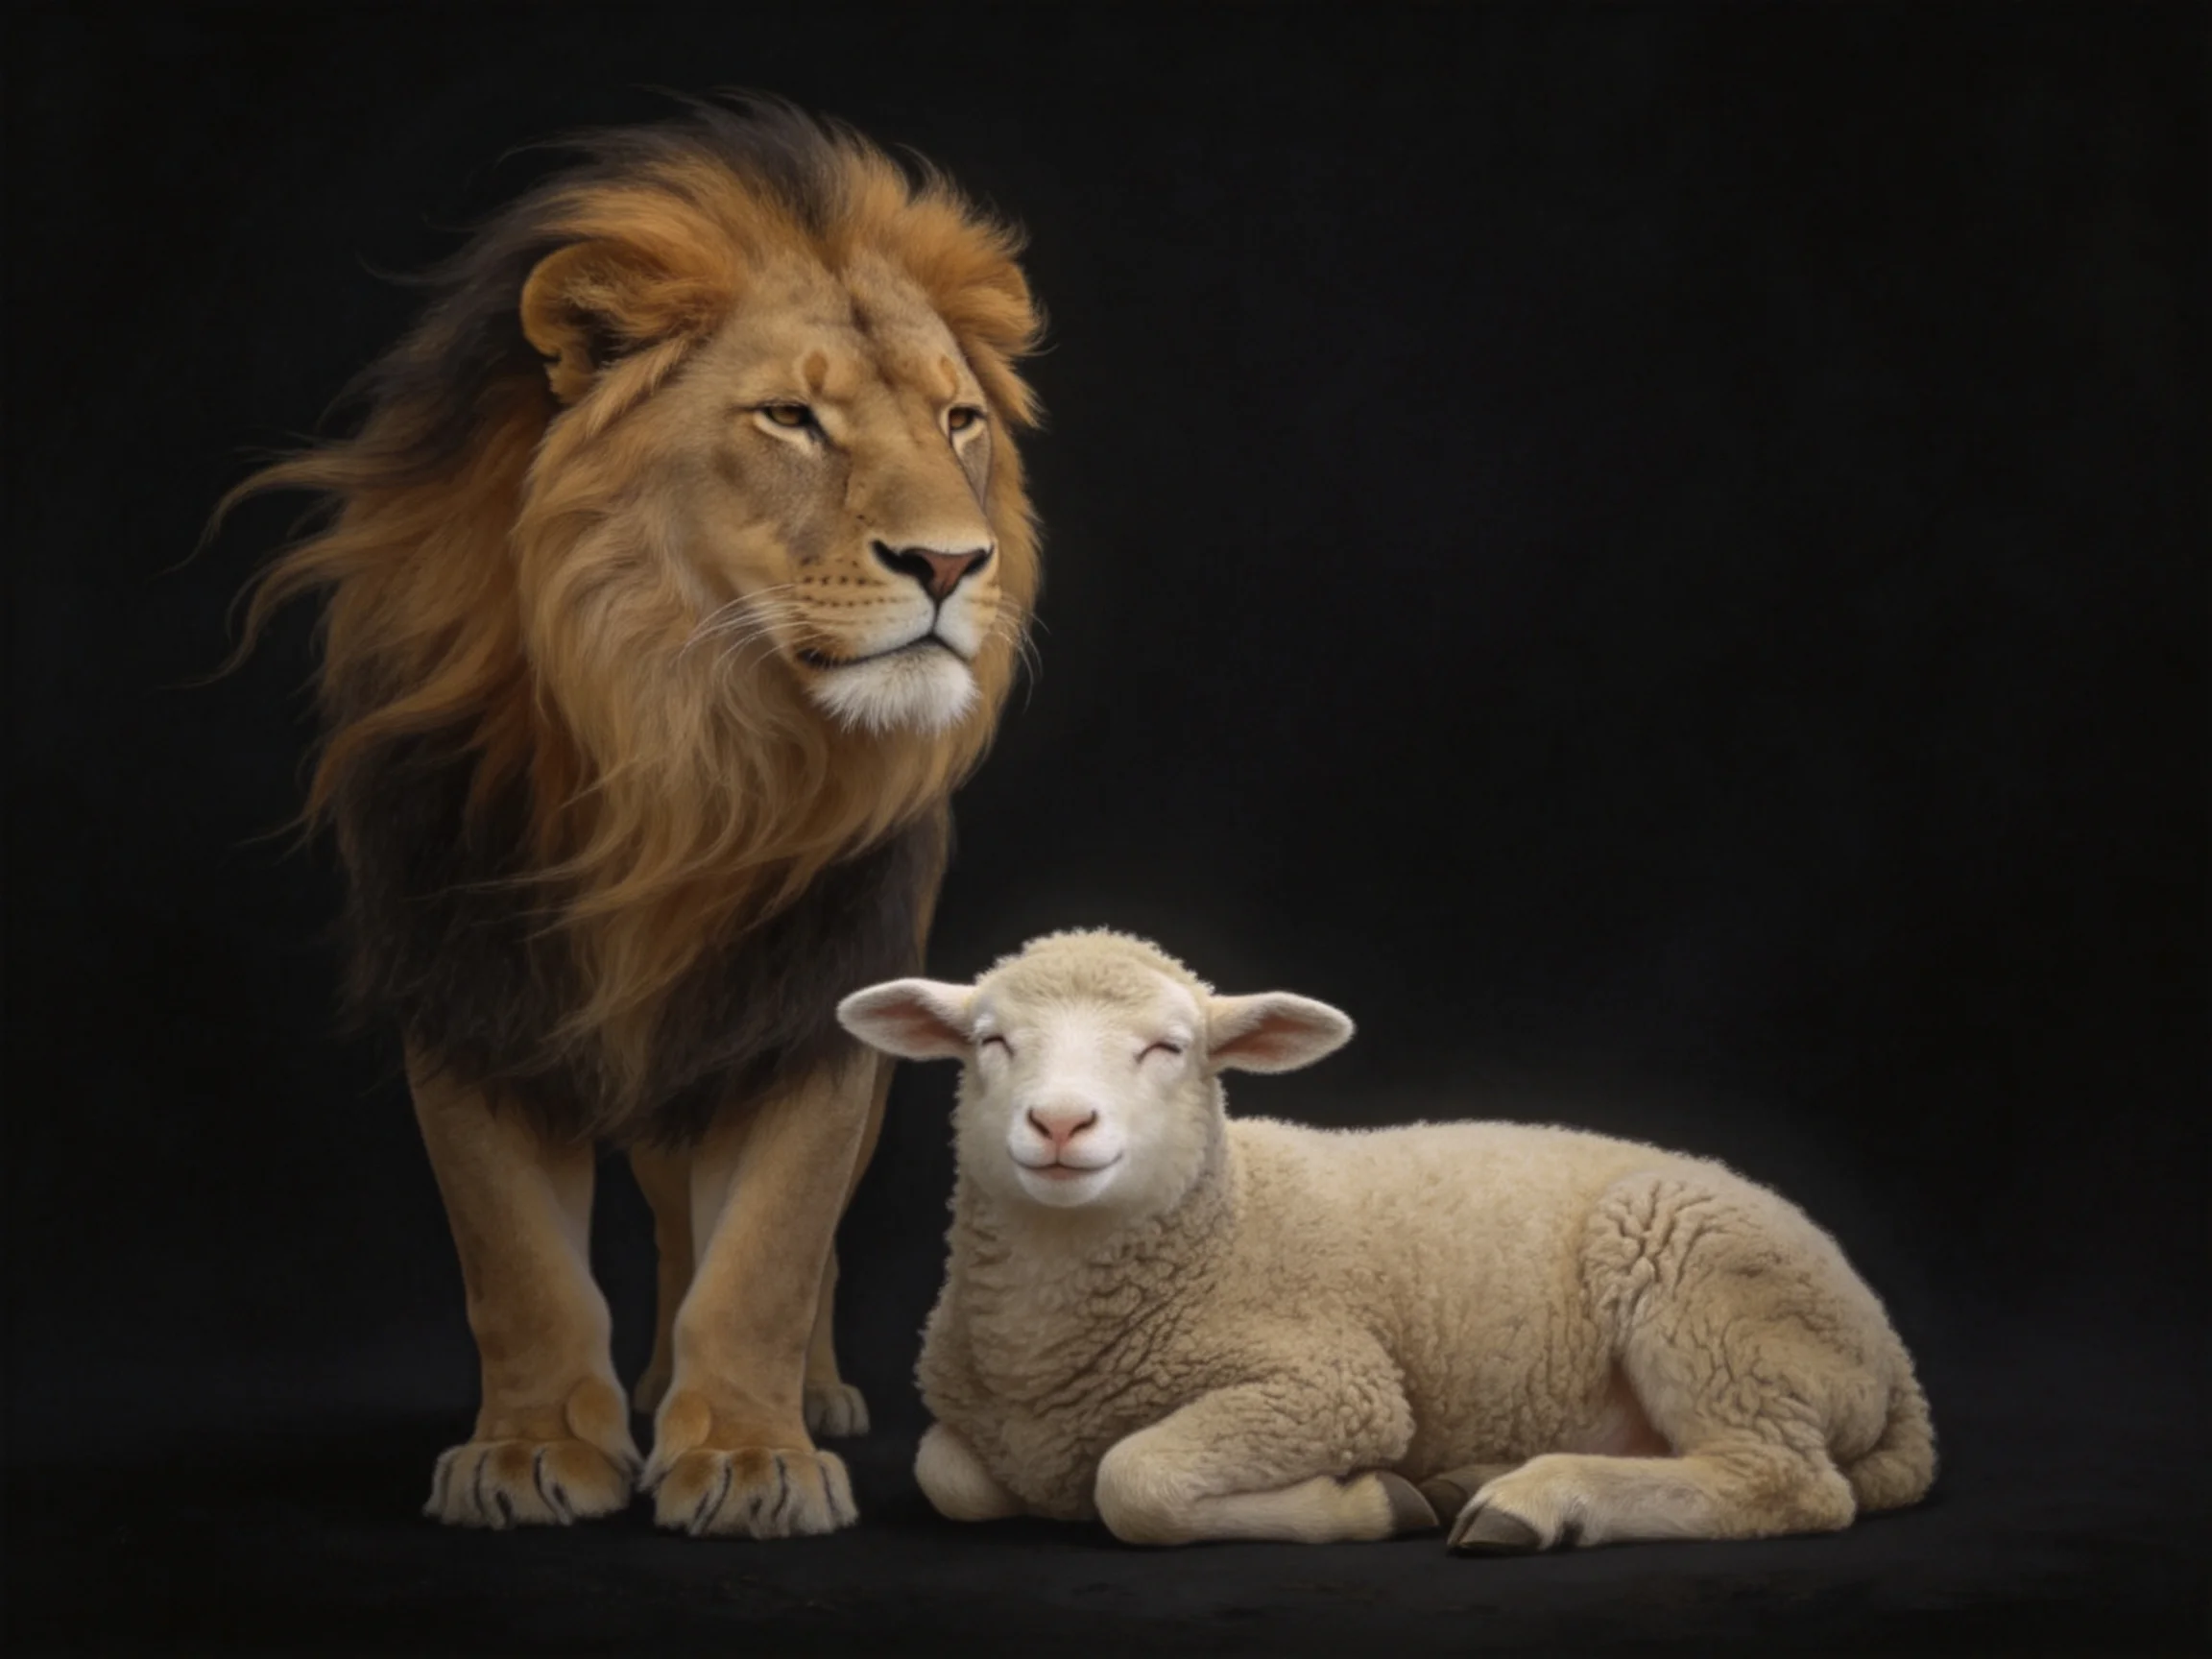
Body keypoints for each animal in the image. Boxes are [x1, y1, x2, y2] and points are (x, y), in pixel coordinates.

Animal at [221, 101, 1044, 1537]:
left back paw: (802, 1396)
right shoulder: (466, 983)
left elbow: (770, 1249)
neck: (676, 738)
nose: (953, 563)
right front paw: (532, 1448)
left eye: (958, 422)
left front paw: (755, 1454)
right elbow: (518, 1264)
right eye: (791, 419)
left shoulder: (804, 995)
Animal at [836, 929, 1936, 1552]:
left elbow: (1133, 1483)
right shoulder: (978, 1425)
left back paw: (1536, 1503)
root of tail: (1891, 1358)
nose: (1061, 1124)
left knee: (1783, 1482)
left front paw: (1370, 1505)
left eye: (1169, 1048)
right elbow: (948, 1475)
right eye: (990, 1041)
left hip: (1708, 1298)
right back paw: (1474, 1482)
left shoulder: (1333, 1387)